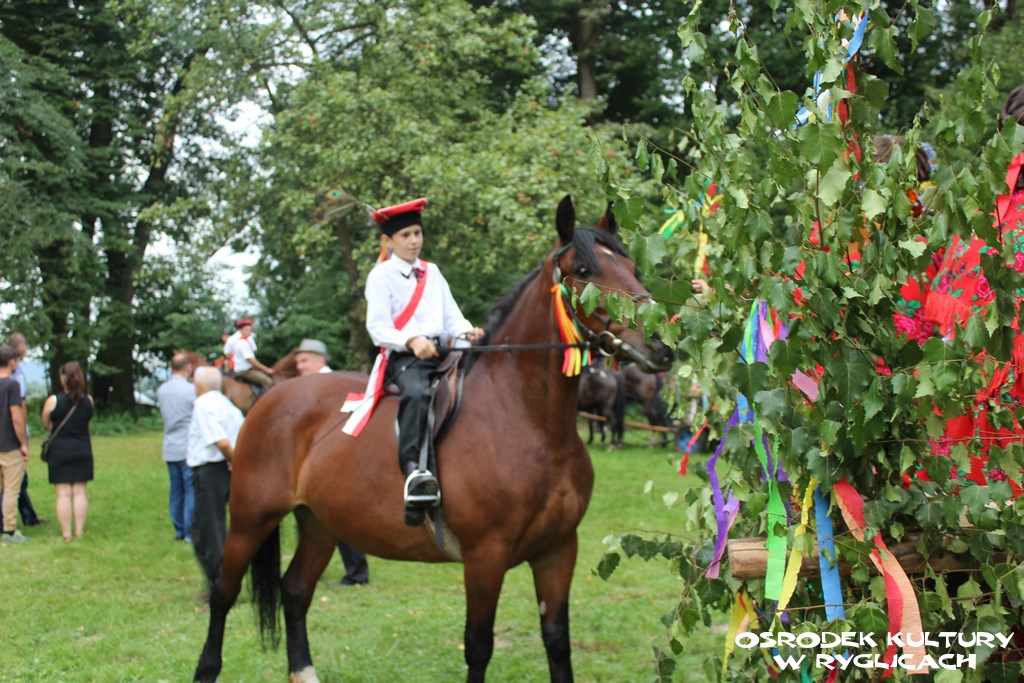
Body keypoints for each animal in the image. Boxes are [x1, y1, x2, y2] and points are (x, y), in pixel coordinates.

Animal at [192, 195, 674, 683]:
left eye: (632, 265)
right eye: (585, 269)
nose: (660, 343)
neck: (530, 423)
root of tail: (271, 399)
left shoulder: (558, 550)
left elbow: (557, 640)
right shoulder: (485, 557)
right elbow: (478, 646)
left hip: (319, 524)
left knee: (294, 591)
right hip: (251, 518)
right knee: (224, 593)